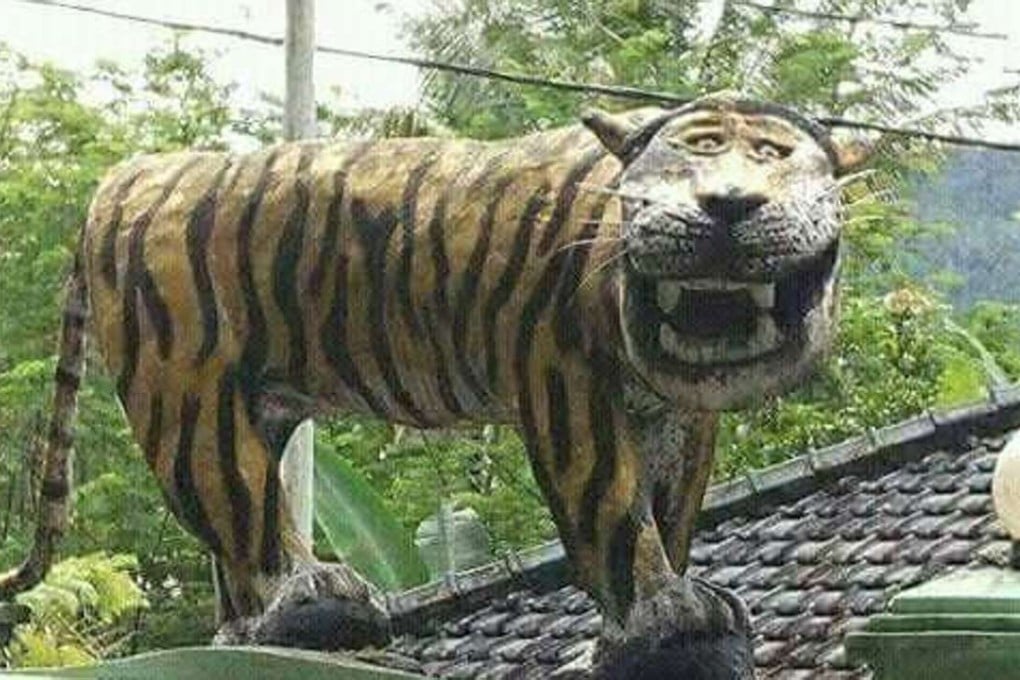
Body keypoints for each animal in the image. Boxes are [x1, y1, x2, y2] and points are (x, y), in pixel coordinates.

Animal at [1, 92, 864, 678]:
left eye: (773, 155)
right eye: (697, 152)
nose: (728, 206)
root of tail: (125, 176)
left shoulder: (675, 417)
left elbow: (670, 513)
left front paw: (648, 623)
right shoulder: (567, 388)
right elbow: (614, 512)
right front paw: (667, 616)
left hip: (250, 409)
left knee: (237, 547)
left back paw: (271, 626)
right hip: (189, 400)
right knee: (240, 518)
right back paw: (317, 603)